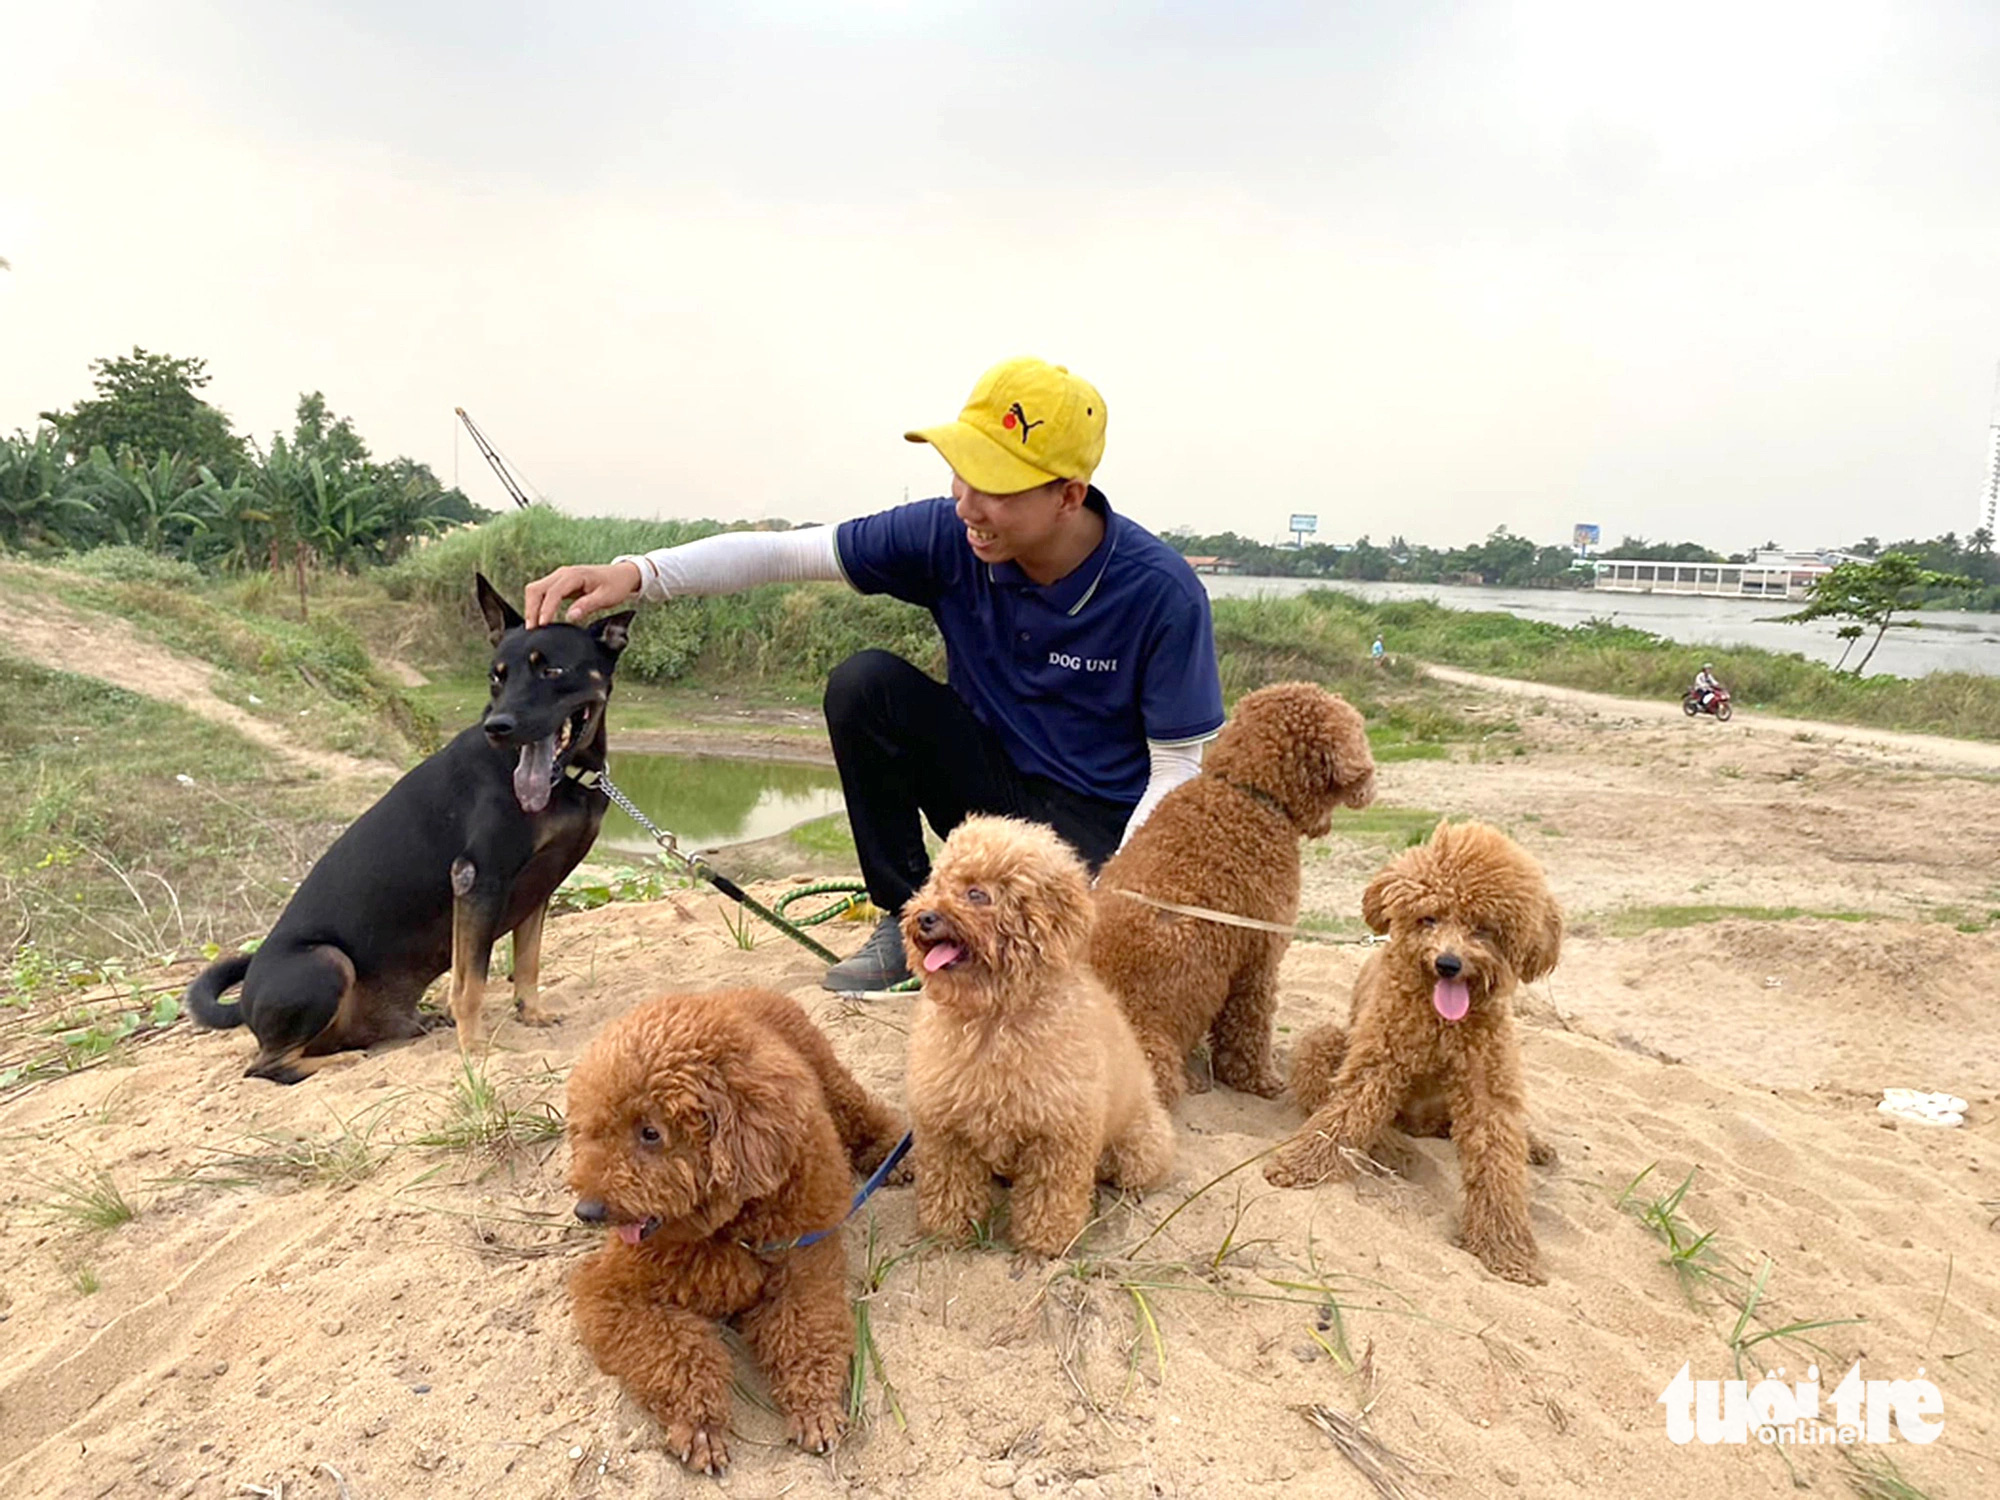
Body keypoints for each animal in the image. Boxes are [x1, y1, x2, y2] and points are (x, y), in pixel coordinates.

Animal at [186, 572, 632, 1080]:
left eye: (552, 671)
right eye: (496, 677)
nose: (498, 727)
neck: (569, 779)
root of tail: (245, 1006)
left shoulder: (539, 885)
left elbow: (529, 962)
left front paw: (532, 1013)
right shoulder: (477, 879)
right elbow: (471, 982)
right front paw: (474, 1047)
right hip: (326, 962)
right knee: (266, 1064)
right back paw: (341, 1061)